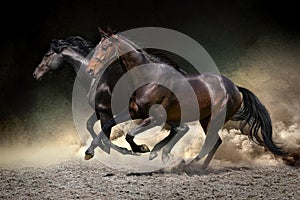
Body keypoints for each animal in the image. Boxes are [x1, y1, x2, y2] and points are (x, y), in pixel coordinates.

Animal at [84, 30, 286, 169]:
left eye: (104, 48)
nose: (90, 71)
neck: (149, 78)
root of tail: (236, 88)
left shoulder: (154, 118)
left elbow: (129, 134)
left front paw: (143, 149)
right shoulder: (134, 112)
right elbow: (109, 124)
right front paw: (89, 152)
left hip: (214, 118)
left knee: (211, 141)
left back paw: (191, 165)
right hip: (204, 118)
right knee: (214, 141)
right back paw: (197, 166)